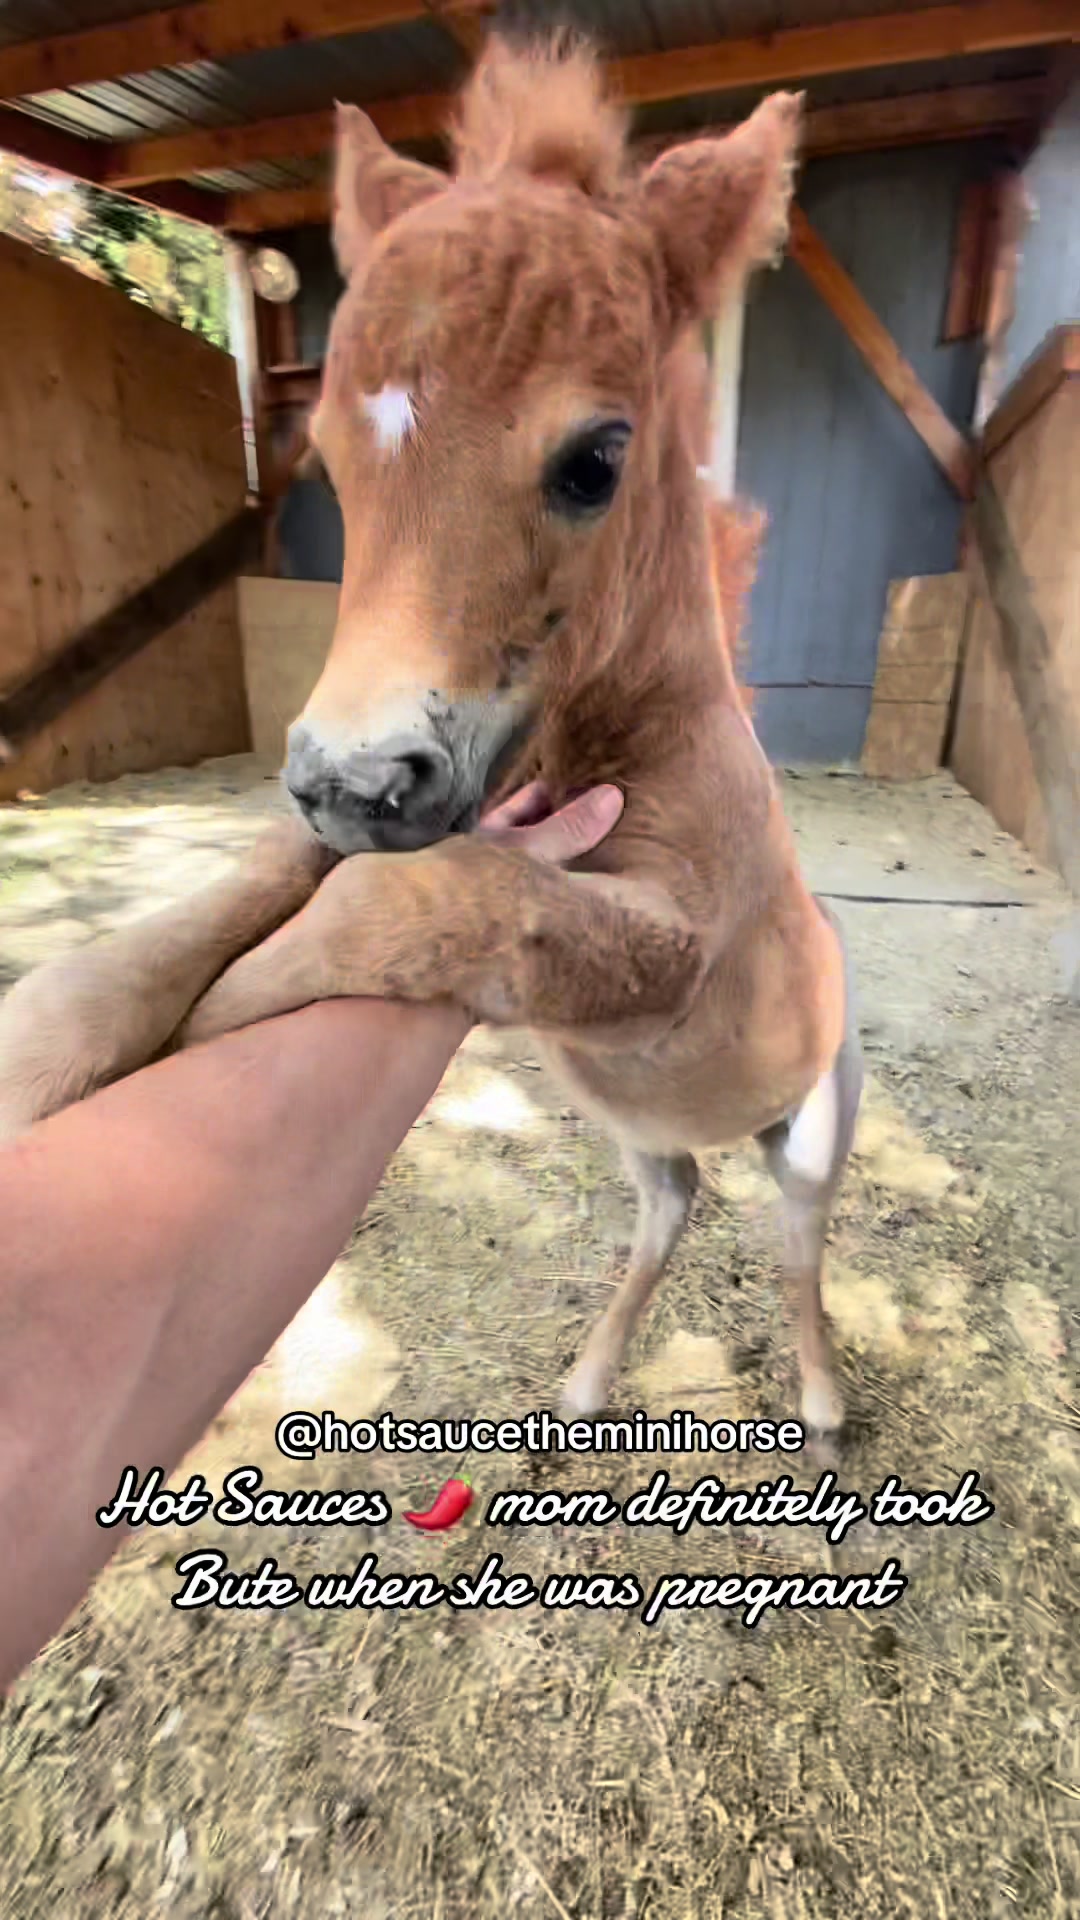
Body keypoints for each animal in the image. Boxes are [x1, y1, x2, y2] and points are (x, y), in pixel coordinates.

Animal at [0, 37, 862, 1436]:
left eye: (596, 460)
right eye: (331, 453)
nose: (354, 780)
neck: (616, 738)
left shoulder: (674, 940)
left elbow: (427, 903)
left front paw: (206, 1041)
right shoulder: (400, 812)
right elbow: (221, 900)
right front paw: (51, 1069)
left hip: (812, 1128)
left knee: (797, 1241)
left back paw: (828, 1401)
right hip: (643, 1138)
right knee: (671, 1208)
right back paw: (587, 1384)